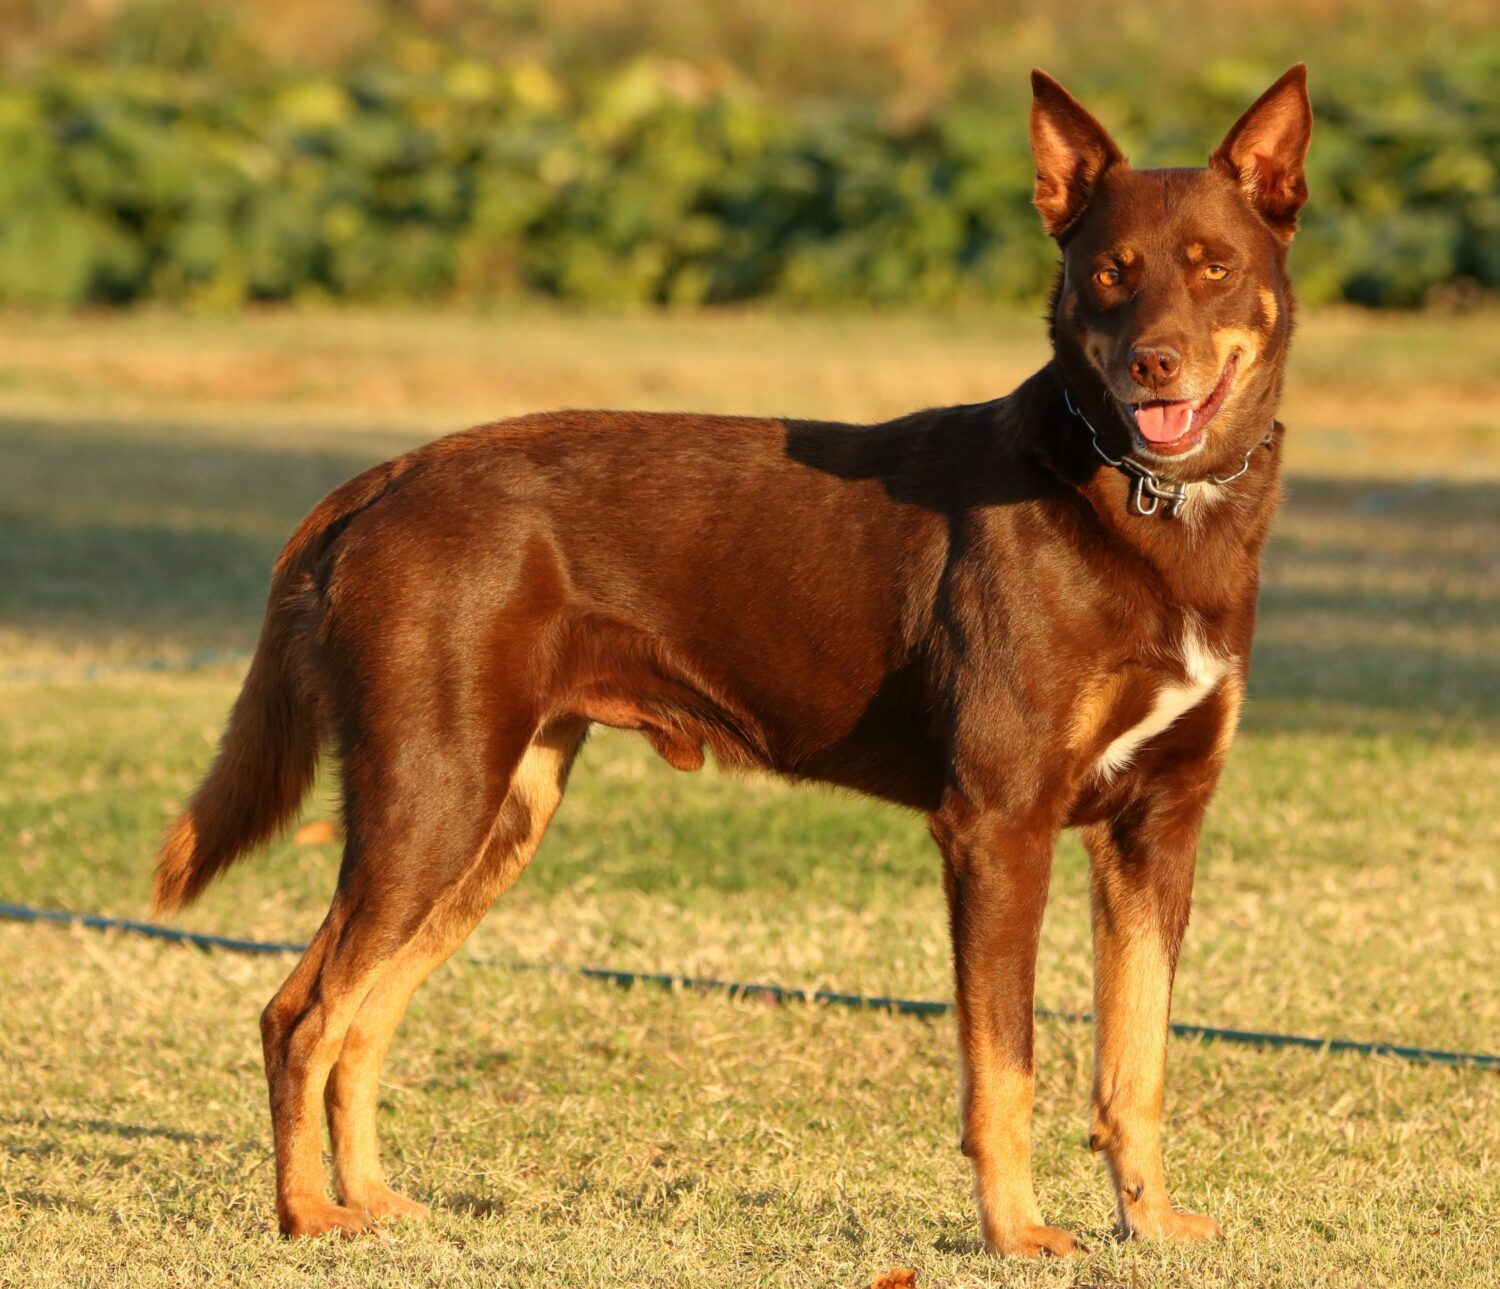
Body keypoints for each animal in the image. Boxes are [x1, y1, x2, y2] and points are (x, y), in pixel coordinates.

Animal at [155, 65, 1314, 1254]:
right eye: (1109, 273)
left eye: (1213, 267)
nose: (1151, 365)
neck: (1149, 507)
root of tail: (383, 481)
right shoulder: (1000, 825)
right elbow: (1006, 1067)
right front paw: (1015, 1234)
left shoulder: (1158, 827)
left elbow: (1139, 1061)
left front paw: (1152, 1220)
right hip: (429, 799)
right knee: (300, 1012)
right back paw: (306, 1212)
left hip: (496, 814)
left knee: (365, 1016)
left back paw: (370, 1199)